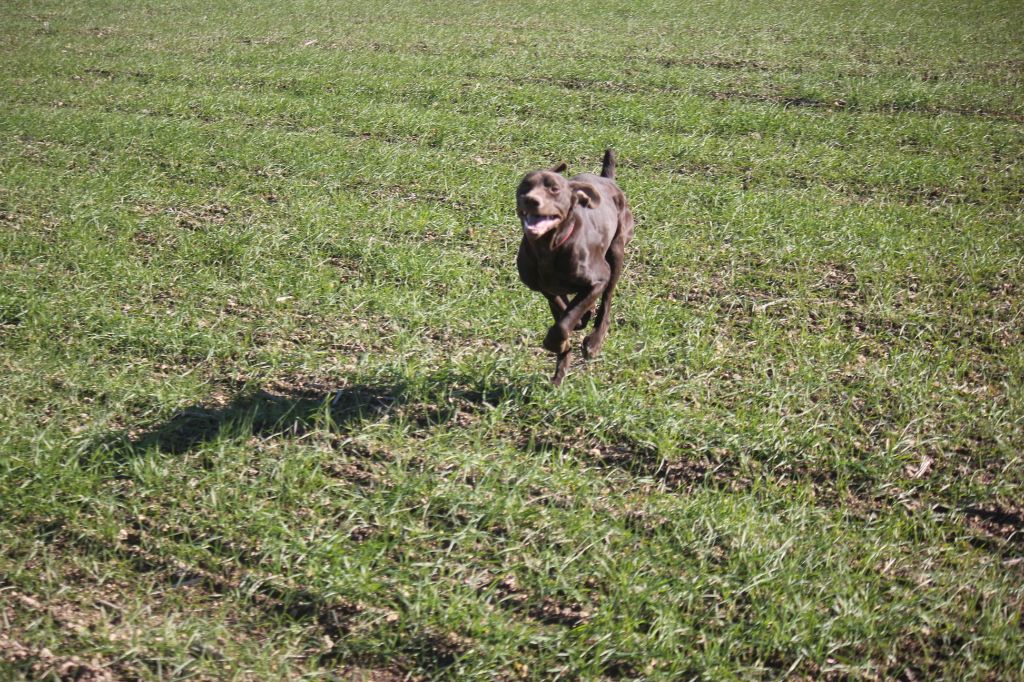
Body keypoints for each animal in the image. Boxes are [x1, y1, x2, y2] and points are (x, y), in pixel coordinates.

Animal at [520, 148, 630, 382]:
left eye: (554, 189)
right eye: (525, 185)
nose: (531, 200)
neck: (549, 248)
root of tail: (607, 179)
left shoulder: (599, 278)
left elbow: (565, 321)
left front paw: (556, 340)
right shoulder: (545, 288)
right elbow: (564, 310)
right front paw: (569, 334)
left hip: (616, 252)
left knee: (607, 302)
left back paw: (594, 342)